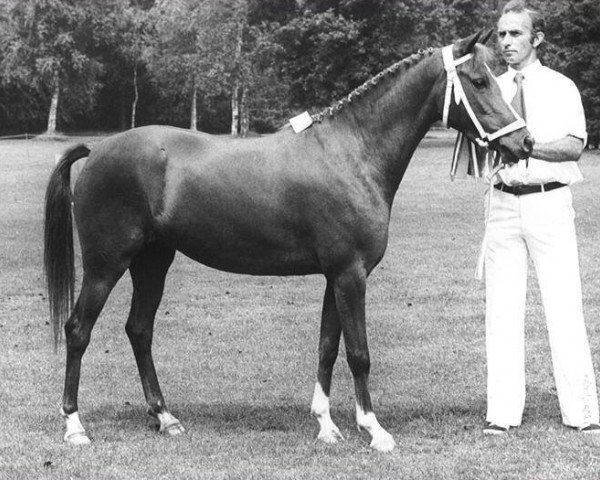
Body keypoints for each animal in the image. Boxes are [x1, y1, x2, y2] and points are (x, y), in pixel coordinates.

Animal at [45, 31, 536, 452]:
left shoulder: (336, 276)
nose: (526, 142)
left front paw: (327, 426)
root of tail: (99, 150)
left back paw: (165, 418)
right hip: (107, 265)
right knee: (78, 330)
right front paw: (374, 431)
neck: (351, 153)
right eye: (479, 81)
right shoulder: (351, 275)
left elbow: (327, 348)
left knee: (139, 330)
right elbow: (358, 353)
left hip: (152, 262)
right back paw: (74, 427)